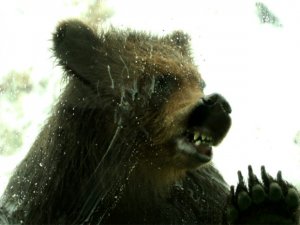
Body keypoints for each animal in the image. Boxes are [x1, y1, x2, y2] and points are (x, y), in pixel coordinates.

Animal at [0, 19, 298, 225]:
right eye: (162, 80)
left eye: (199, 81)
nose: (217, 104)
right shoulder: (46, 198)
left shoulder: (197, 197)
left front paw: (265, 202)